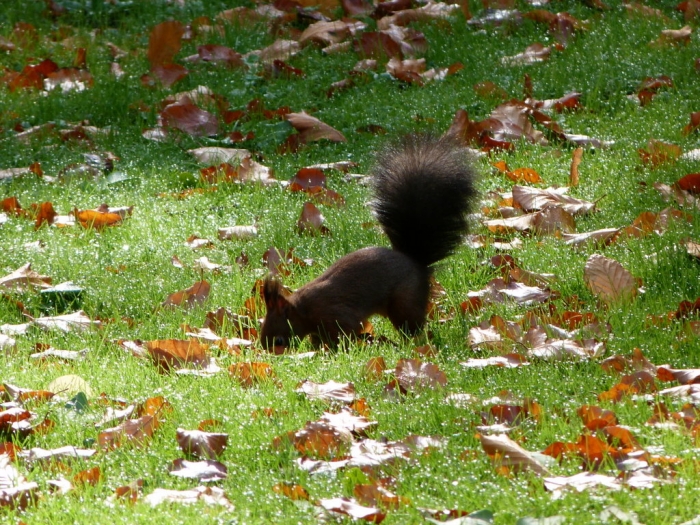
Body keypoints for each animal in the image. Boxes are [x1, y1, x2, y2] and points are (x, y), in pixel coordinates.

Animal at [260, 133, 478, 349]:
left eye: (279, 340)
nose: (272, 353)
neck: (304, 309)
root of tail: (416, 262)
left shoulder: (335, 314)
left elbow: (344, 333)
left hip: (404, 301)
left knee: (412, 326)